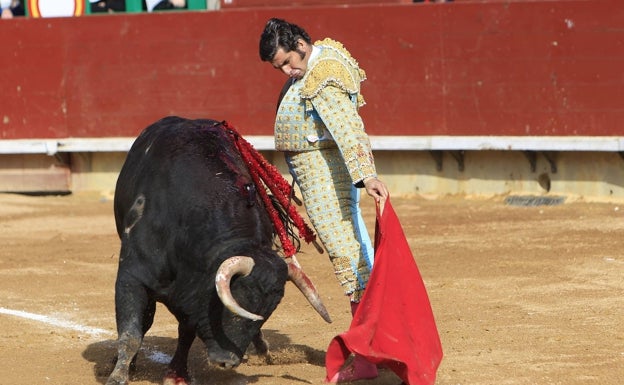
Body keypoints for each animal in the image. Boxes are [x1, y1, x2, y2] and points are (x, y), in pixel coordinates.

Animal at [107, 116, 332, 384]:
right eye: (240, 302)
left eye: (267, 313)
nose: (228, 362)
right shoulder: (132, 277)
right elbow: (132, 331)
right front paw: (119, 375)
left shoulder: (195, 293)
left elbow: (186, 332)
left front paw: (177, 374)